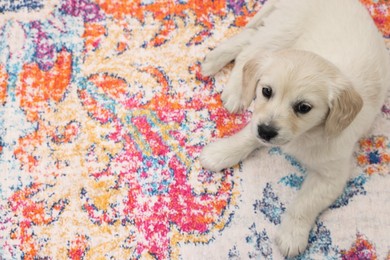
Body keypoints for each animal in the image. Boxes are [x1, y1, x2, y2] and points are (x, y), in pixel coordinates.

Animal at [201, 0, 390, 256]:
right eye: (266, 91)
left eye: (303, 107)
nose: (266, 132)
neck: (306, 135)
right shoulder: (260, 119)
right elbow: (247, 135)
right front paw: (220, 153)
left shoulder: (331, 176)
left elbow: (304, 203)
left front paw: (291, 235)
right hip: (282, 31)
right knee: (250, 52)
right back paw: (235, 89)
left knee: (251, 40)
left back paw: (214, 60)